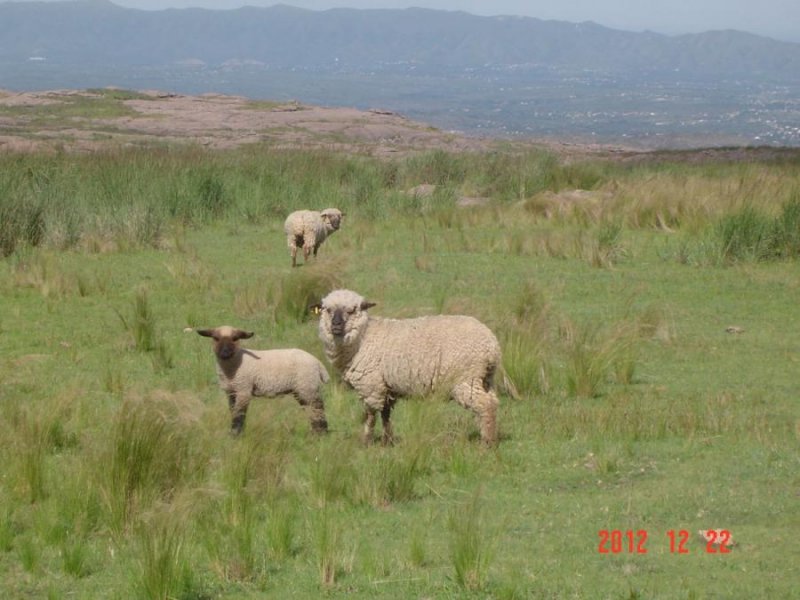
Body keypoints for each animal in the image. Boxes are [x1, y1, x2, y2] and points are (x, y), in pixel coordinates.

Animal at [196, 326, 328, 434]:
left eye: (235, 338)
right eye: (215, 338)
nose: (225, 353)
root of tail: (318, 363)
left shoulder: (243, 389)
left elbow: (239, 415)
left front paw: (235, 435)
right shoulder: (231, 392)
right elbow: (233, 412)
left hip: (308, 385)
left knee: (318, 408)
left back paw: (321, 434)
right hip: (301, 389)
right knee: (311, 410)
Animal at [312, 288, 500, 448]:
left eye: (351, 310)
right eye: (327, 310)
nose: (336, 325)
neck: (363, 337)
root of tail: (491, 344)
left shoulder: (370, 386)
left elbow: (370, 416)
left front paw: (365, 442)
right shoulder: (385, 386)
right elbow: (385, 415)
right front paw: (387, 441)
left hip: (466, 379)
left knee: (485, 405)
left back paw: (487, 443)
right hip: (484, 379)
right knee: (492, 402)